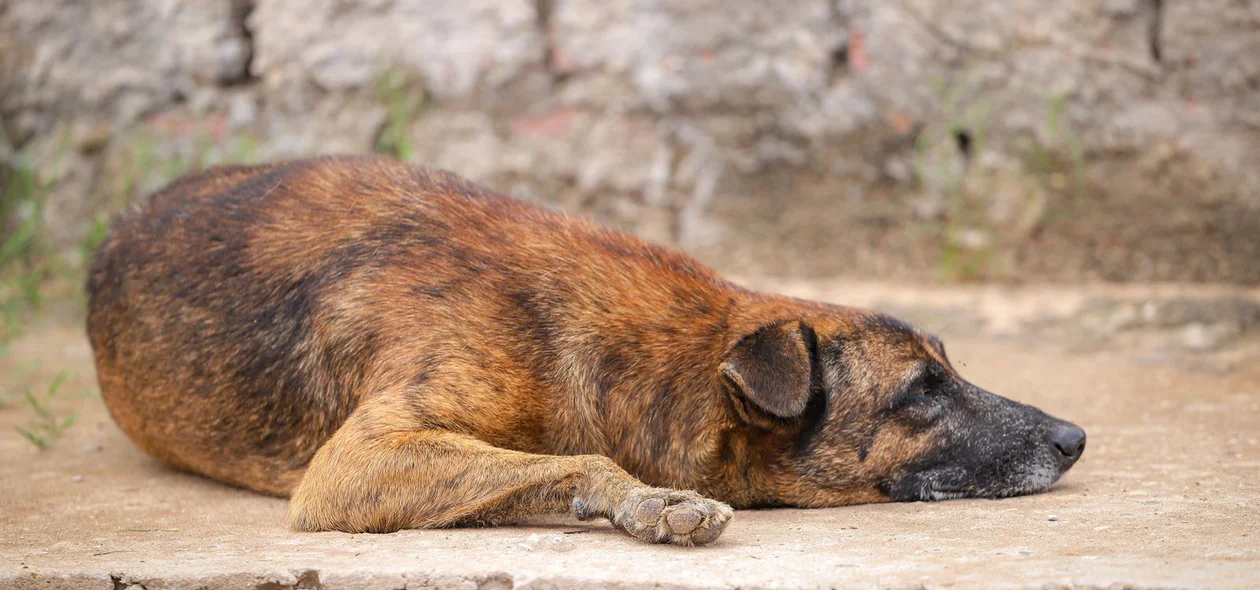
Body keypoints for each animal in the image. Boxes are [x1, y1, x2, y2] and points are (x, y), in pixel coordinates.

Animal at [88, 154, 1088, 547]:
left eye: (951, 369)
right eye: (921, 391)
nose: (1077, 438)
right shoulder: (354, 465)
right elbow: (577, 459)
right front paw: (651, 501)